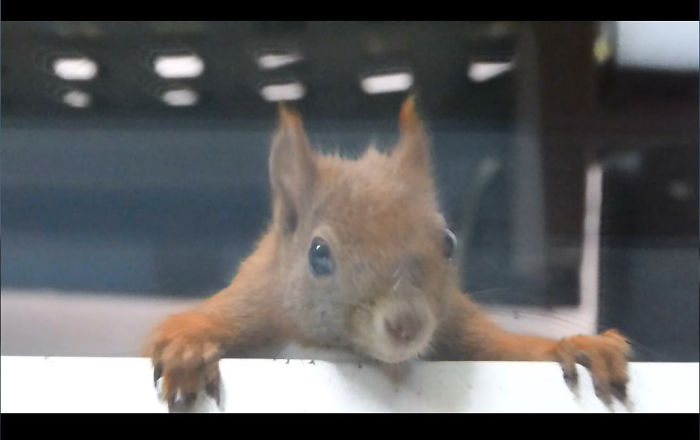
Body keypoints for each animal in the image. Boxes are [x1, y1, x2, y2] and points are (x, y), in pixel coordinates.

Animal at [145, 96, 630, 410]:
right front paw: (188, 349)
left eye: (449, 242)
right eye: (318, 254)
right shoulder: (252, 303)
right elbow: (195, 324)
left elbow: (510, 349)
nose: (407, 325)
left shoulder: (457, 326)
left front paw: (582, 346)